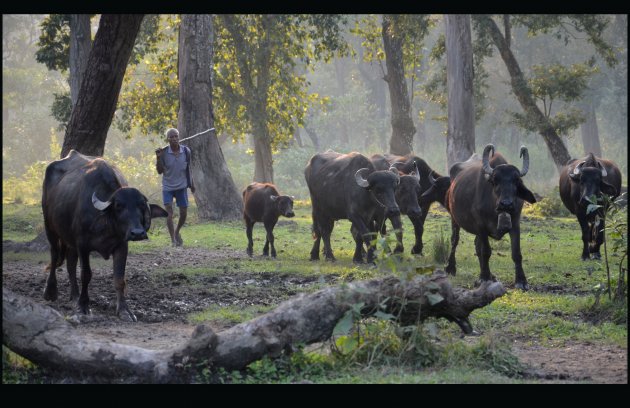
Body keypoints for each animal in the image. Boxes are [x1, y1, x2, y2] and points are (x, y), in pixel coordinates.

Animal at [42, 150, 168, 322]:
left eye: (141, 205)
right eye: (119, 206)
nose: (137, 233)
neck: (106, 224)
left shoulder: (121, 245)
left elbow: (119, 278)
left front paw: (124, 310)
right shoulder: (83, 245)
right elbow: (86, 274)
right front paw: (83, 306)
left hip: (70, 241)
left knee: (70, 265)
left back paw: (74, 297)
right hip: (50, 228)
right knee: (55, 256)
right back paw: (50, 292)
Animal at [444, 143, 540, 290]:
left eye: (516, 181)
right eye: (495, 180)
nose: (506, 204)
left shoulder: (515, 224)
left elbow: (516, 253)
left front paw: (521, 281)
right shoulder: (481, 226)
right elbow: (486, 251)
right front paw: (484, 278)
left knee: (476, 245)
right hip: (454, 218)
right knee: (455, 240)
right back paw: (451, 268)